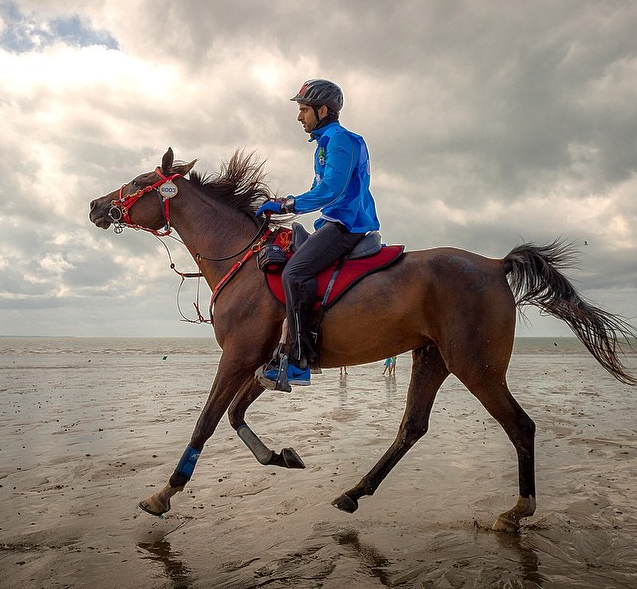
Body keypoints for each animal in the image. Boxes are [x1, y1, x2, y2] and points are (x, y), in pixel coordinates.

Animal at [89, 148, 636, 532]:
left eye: (139, 182)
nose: (96, 205)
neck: (242, 257)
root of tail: (495, 264)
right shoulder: (263, 364)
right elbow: (236, 416)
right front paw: (279, 456)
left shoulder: (239, 357)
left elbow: (207, 420)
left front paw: (165, 493)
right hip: (432, 357)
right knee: (411, 428)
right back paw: (354, 492)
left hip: (476, 366)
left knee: (521, 427)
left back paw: (517, 510)